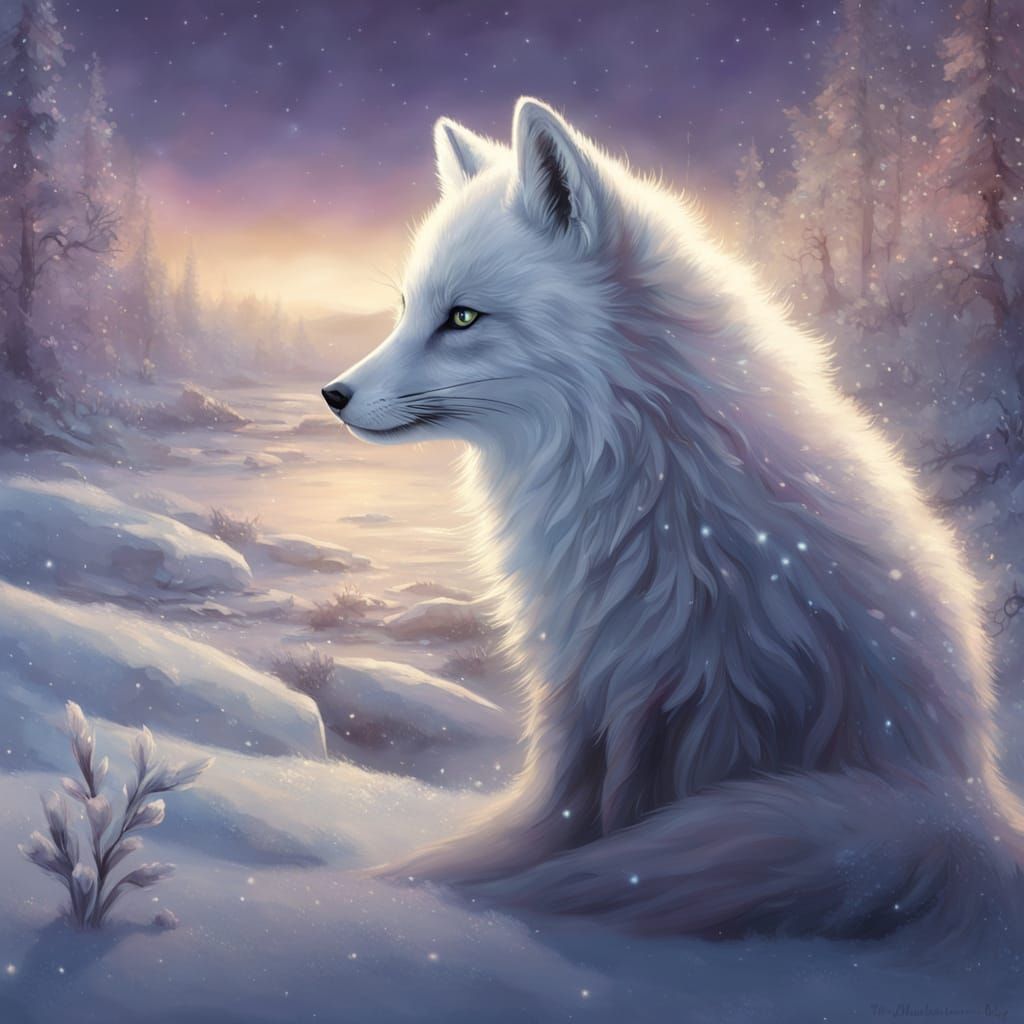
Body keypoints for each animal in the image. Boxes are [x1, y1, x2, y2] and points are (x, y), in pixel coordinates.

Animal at [321, 97, 1024, 943]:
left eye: (462, 317)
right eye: (405, 308)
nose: (334, 394)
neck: (651, 469)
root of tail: (965, 808)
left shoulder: (694, 693)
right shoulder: (588, 684)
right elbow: (558, 814)